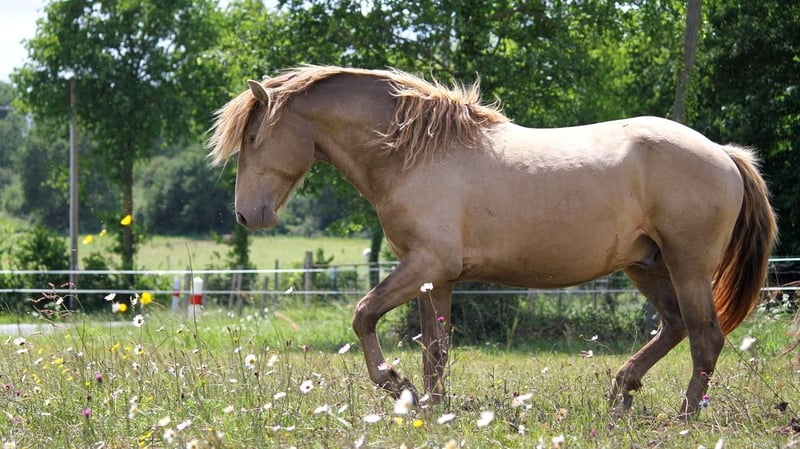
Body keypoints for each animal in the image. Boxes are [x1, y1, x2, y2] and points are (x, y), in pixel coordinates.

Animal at [207, 66, 777, 416]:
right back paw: (622, 392)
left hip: (687, 266)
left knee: (705, 336)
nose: (246, 214)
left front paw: (396, 385)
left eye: (254, 137)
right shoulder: (434, 278)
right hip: (648, 265)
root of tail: (725, 154)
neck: (413, 153)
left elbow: (364, 315)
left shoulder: (425, 265)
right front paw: (431, 408)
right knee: (676, 327)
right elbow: (435, 349)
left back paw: (684, 417)